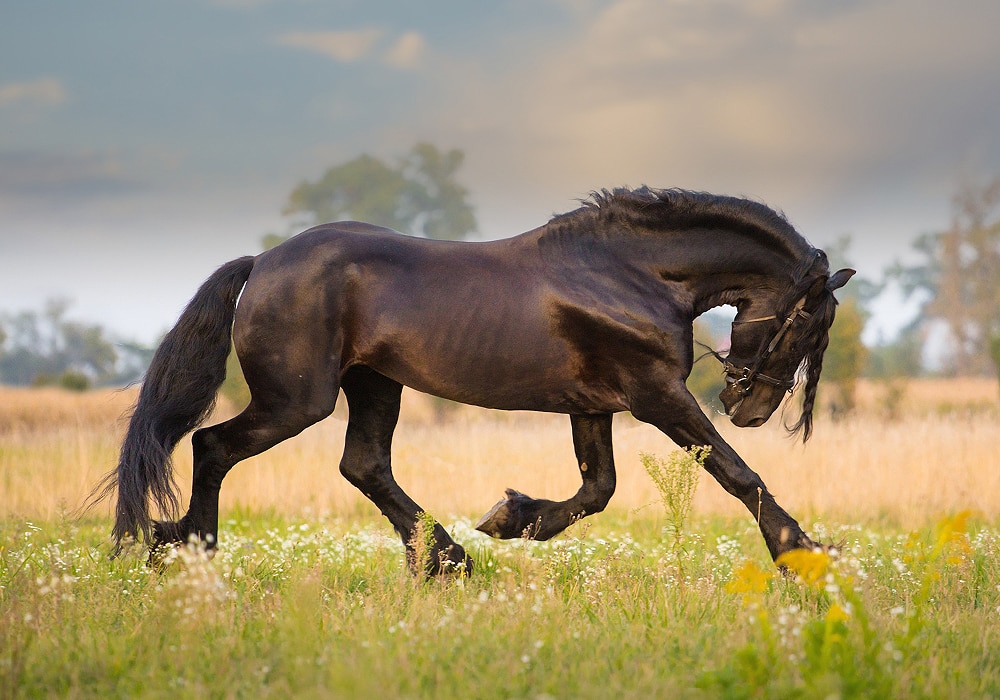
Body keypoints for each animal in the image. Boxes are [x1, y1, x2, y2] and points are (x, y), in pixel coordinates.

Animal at [95, 187, 852, 576]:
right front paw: (802, 554)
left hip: (374, 384)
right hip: (296, 400)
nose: (750, 408)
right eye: (808, 327)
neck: (628, 273)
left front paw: (513, 517)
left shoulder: (595, 405)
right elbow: (736, 473)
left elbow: (597, 489)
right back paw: (191, 548)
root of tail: (263, 264)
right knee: (214, 446)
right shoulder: (655, 395)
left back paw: (447, 557)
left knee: (363, 465)